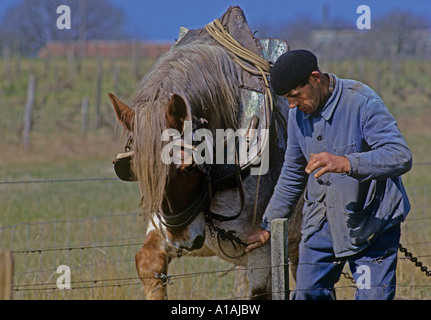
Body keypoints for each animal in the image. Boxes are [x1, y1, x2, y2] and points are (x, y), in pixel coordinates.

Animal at [109, 6, 304, 298]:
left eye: (189, 168)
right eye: (138, 172)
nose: (182, 241)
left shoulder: (262, 253)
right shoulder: (165, 230)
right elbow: (148, 262)